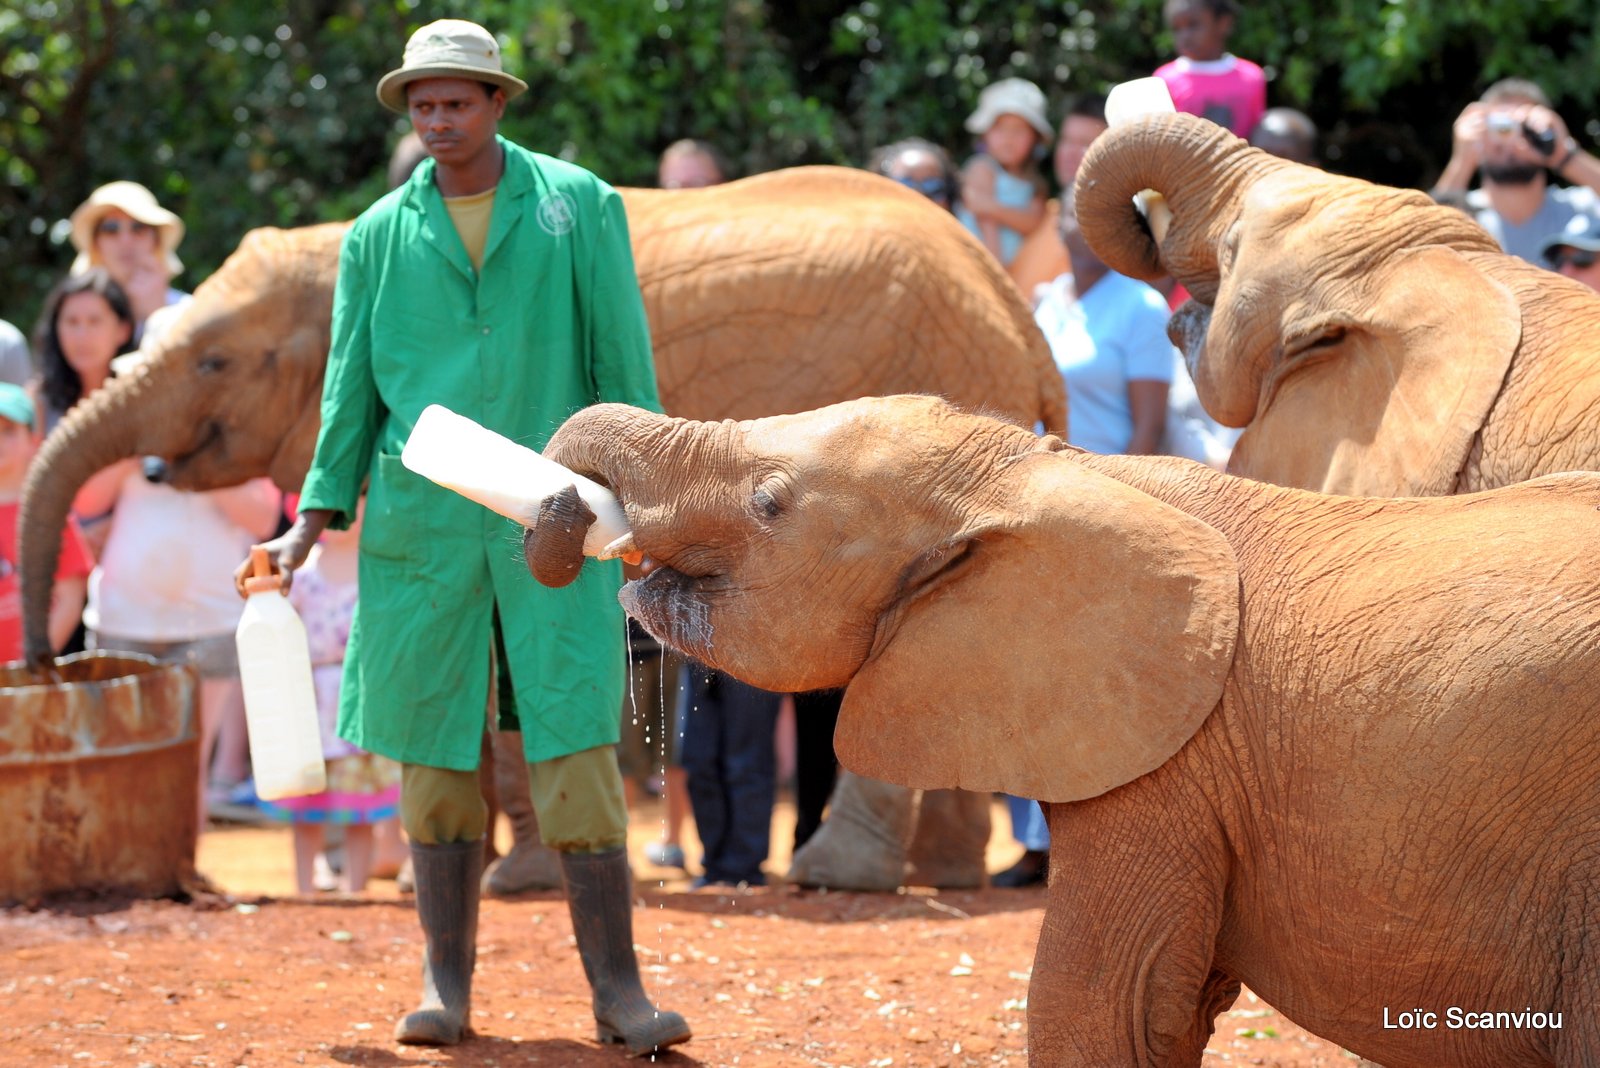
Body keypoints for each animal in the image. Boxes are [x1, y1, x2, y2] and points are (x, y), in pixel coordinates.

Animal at [25, 163, 1062, 888]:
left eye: (213, 363)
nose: (42, 663)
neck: (337, 241)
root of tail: (1017, 310)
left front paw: (513, 882)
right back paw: (944, 875)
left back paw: (836, 879)